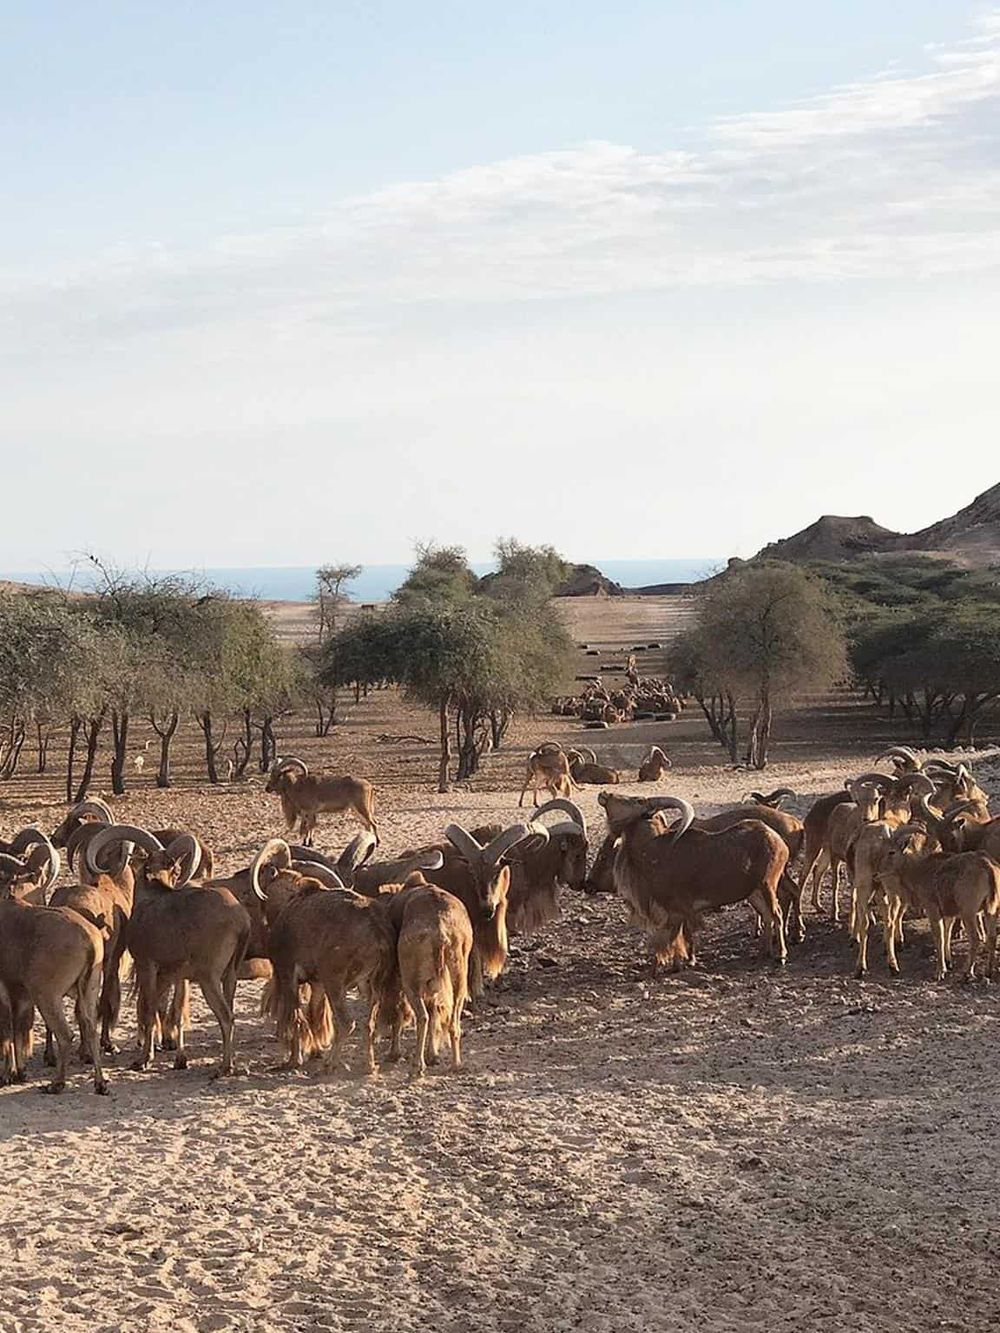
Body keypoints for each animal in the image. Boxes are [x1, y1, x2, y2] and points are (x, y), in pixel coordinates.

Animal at [87, 825, 251, 1074]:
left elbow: (148, 1010)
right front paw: (176, 1058)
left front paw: (143, 1060)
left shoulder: (147, 966)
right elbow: (169, 1012)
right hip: (229, 976)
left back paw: (225, 1067)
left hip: (209, 977)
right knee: (229, 1010)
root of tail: (241, 920)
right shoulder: (172, 975)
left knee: (226, 1017)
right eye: (174, 868)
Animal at [598, 792, 788, 972]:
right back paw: (764, 953)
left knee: (776, 914)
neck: (652, 849)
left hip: (767, 885)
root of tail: (778, 841)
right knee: (767, 915)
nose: (605, 794)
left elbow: (675, 937)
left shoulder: (674, 909)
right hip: (754, 893)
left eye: (638, 800)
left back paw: (781, 955)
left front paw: (675, 966)